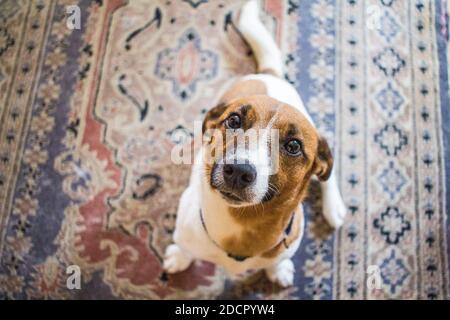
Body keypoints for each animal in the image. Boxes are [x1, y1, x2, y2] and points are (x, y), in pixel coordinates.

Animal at [163, 0, 346, 288]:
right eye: (234, 120)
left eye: (293, 146)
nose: (238, 171)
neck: (242, 225)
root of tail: (268, 75)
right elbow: (184, 247)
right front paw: (180, 257)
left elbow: (277, 261)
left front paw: (277, 270)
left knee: (328, 176)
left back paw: (333, 207)